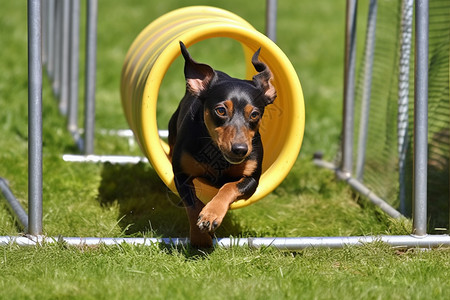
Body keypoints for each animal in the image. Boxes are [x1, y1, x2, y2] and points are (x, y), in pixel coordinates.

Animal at [168, 42, 276, 248]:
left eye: (255, 114)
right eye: (221, 110)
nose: (240, 150)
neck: (218, 155)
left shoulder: (252, 179)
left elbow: (228, 187)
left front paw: (211, 215)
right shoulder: (181, 175)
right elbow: (193, 205)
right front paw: (200, 238)